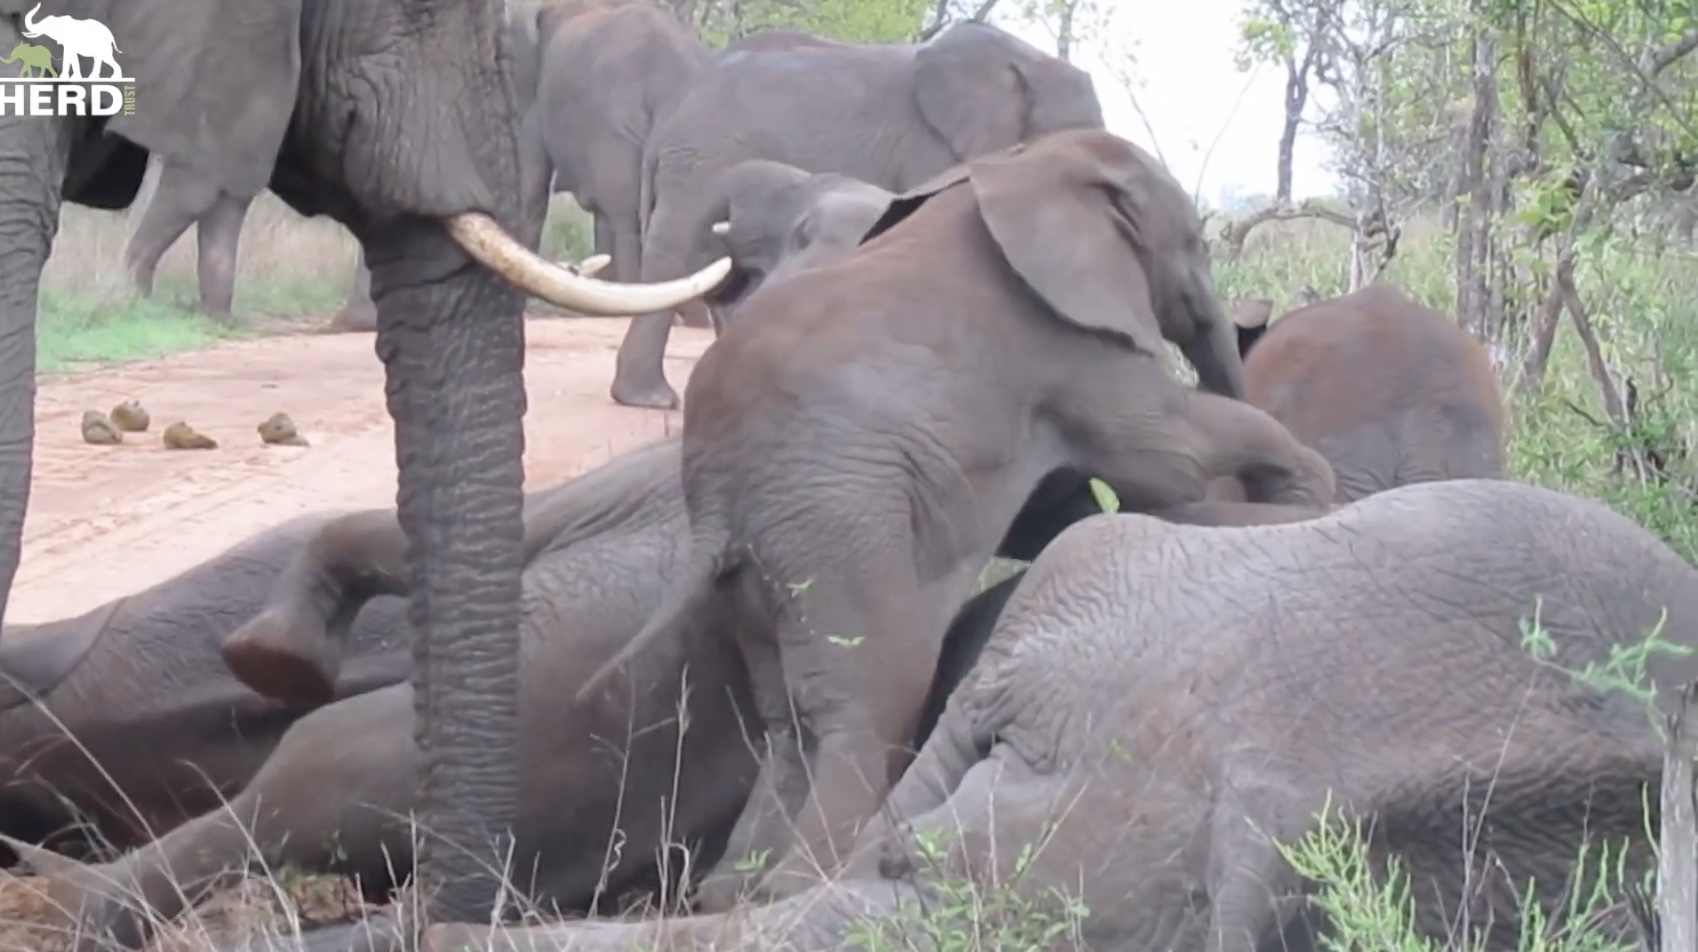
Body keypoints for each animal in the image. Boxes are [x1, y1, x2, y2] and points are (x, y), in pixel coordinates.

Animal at [572, 128, 1336, 911]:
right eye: (1195, 245)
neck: (1021, 168)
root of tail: (717, 504)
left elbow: (1054, 509)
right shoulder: (1061, 344)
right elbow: (1171, 448)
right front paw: (1305, 493)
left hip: (761, 571)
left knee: (787, 721)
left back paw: (733, 893)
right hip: (840, 523)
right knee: (873, 699)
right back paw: (804, 884)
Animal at [608, 19, 1117, 409]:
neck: (1026, 63)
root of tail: (672, 116)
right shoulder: (930, 150)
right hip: (699, 169)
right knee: (676, 261)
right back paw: (651, 400)